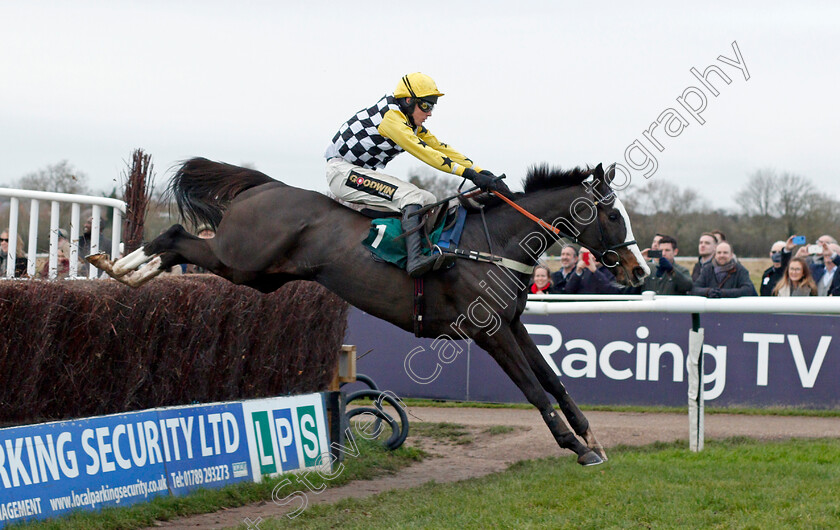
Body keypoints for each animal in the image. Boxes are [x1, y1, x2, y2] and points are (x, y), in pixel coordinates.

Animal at [90, 157, 648, 462]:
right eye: (613, 215)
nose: (639, 270)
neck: (491, 244)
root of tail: (265, 185)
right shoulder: (488, 332)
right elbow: (533, 388)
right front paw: (577, 449)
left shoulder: (512, 323)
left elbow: (554, 380)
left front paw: (592, 437)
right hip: (241, 259)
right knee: (176, 235)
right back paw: (122, 267)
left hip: (261, 275)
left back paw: (126, 270)